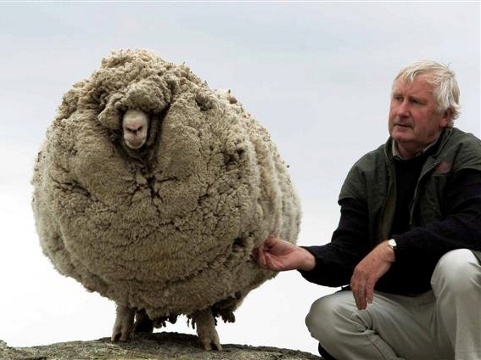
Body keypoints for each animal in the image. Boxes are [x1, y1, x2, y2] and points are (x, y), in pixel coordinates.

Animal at [31, 49, 300, 350]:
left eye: (155, 111)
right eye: (113, 107)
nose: (134, 128)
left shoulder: (209, 274)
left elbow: (202, 306)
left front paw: (210, 341)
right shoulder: (124, 276)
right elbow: (124, 303)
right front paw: (120, 332)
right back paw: (142, 325)